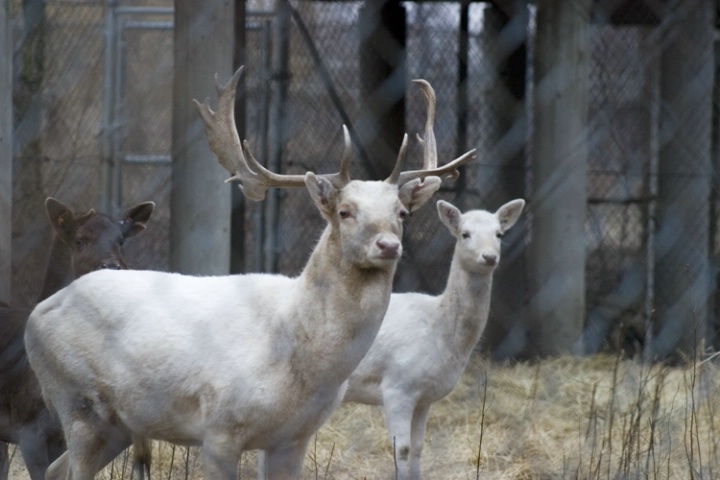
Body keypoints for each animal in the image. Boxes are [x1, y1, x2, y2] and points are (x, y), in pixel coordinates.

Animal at [23, 67, 472, 480]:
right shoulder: (220, 426)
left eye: (401, 213)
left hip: (117, 423)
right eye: (345, 212)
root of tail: (37, 313)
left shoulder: (294, 438)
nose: (388, 245)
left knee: (56, 470)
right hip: (77, 401)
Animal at [344, 197, 524, 478]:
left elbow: (418, 446)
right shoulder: (396, 387)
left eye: (499, 234)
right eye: (465, 234)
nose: (489, 256)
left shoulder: (424, 397)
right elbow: (401, 449)